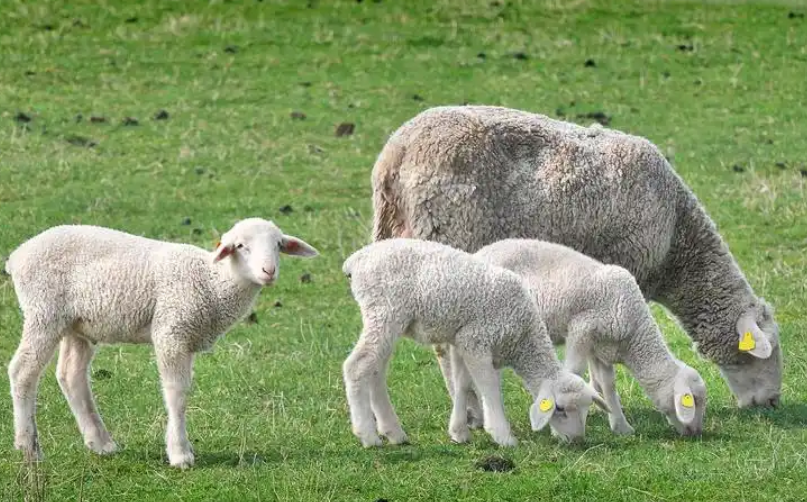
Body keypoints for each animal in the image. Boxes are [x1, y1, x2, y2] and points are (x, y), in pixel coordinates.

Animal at [4, 218, 318, 468]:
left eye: (278, 244)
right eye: (241, 246)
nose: (269, 271)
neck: (213, 281)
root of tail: (17, 256)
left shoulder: (186, 335)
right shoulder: (172, 331)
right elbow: (176, 392)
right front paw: (180, 454)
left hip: (77, 325)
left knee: (71, 375)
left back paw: (101, 443)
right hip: (44, 312)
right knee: (23, 371)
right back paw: (28, 448)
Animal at [338, 238, 608, 448]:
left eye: (584, 410)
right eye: (560, 409)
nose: (576, 440)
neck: (523, 334)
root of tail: (356, 260)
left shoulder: (462, 341)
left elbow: (462, 384)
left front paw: (459, 432)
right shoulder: (477, 340)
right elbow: (489, 387)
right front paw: (503, 435)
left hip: (388, 320)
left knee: (376, 371)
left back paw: (393, 432)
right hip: (385, 312)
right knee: (357, 366)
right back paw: (368, 435)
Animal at [476, 239, 712, 436]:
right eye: (694, 400)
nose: (697, 432)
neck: (634, 333)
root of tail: (482, 252)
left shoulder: (600, 347)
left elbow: (607, 383)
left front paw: (620, 425)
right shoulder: (582, 329)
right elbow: (574, 372)